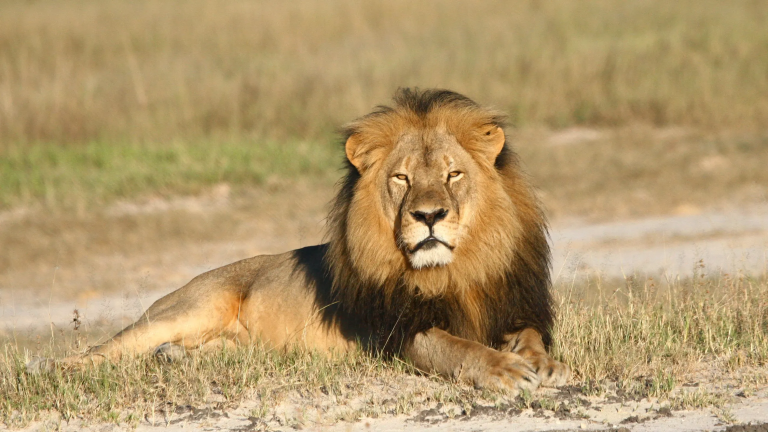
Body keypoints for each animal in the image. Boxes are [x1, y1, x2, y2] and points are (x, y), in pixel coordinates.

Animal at [28, 88, 569, 393]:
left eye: (454, 174)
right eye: (401, 178)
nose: (429, 215)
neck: (455, 271)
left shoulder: (513, 305)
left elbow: (532, 337)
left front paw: (544, 365)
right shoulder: (397, 333)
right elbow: (456, 348)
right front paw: (505, 370)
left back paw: (174, 357)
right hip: (188, 307)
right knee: (105, 349)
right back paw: (48, 368)